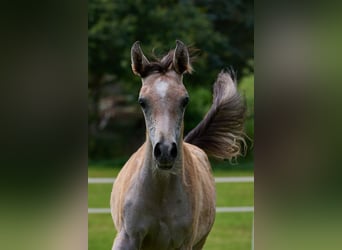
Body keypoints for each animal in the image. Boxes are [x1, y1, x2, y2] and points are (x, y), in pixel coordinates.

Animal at [110, 40, 246, 249]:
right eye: (142, 101)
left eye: (185, 100)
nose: (165, 151)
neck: (161, 192)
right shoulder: (127, 237)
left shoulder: (184, 243)